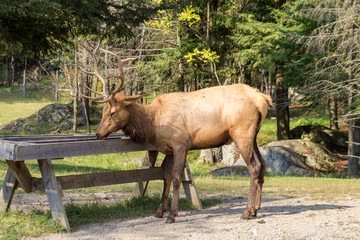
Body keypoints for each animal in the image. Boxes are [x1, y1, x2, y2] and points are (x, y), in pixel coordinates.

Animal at [81, 42, 272, 223]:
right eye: (103, 111)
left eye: (113, 112)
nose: (98, 134)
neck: (153, 123)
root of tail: (263, 99)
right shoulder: (168, 149)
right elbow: (165, 177)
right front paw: (159, 211)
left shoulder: (181, 145)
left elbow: (177, 177)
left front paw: (172, 214)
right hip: (254, 135)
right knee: (262, 164)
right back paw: (255, 210)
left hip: (242, 132)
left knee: (254, 167)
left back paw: (246, 212)